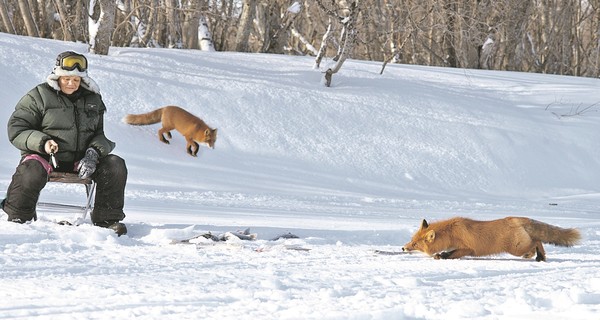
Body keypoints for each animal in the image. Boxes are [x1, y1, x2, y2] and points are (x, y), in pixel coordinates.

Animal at [404, 216, 580, 262]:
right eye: (411, 240)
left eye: (415, 244)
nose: (403, 248)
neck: (451, 233)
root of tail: (518, 219)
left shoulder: (468, 248)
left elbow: (452, 254)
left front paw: (442, 256)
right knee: (536, 242)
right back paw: (536, 256)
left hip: (516, 248)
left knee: (537, 241)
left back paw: (539, 256)